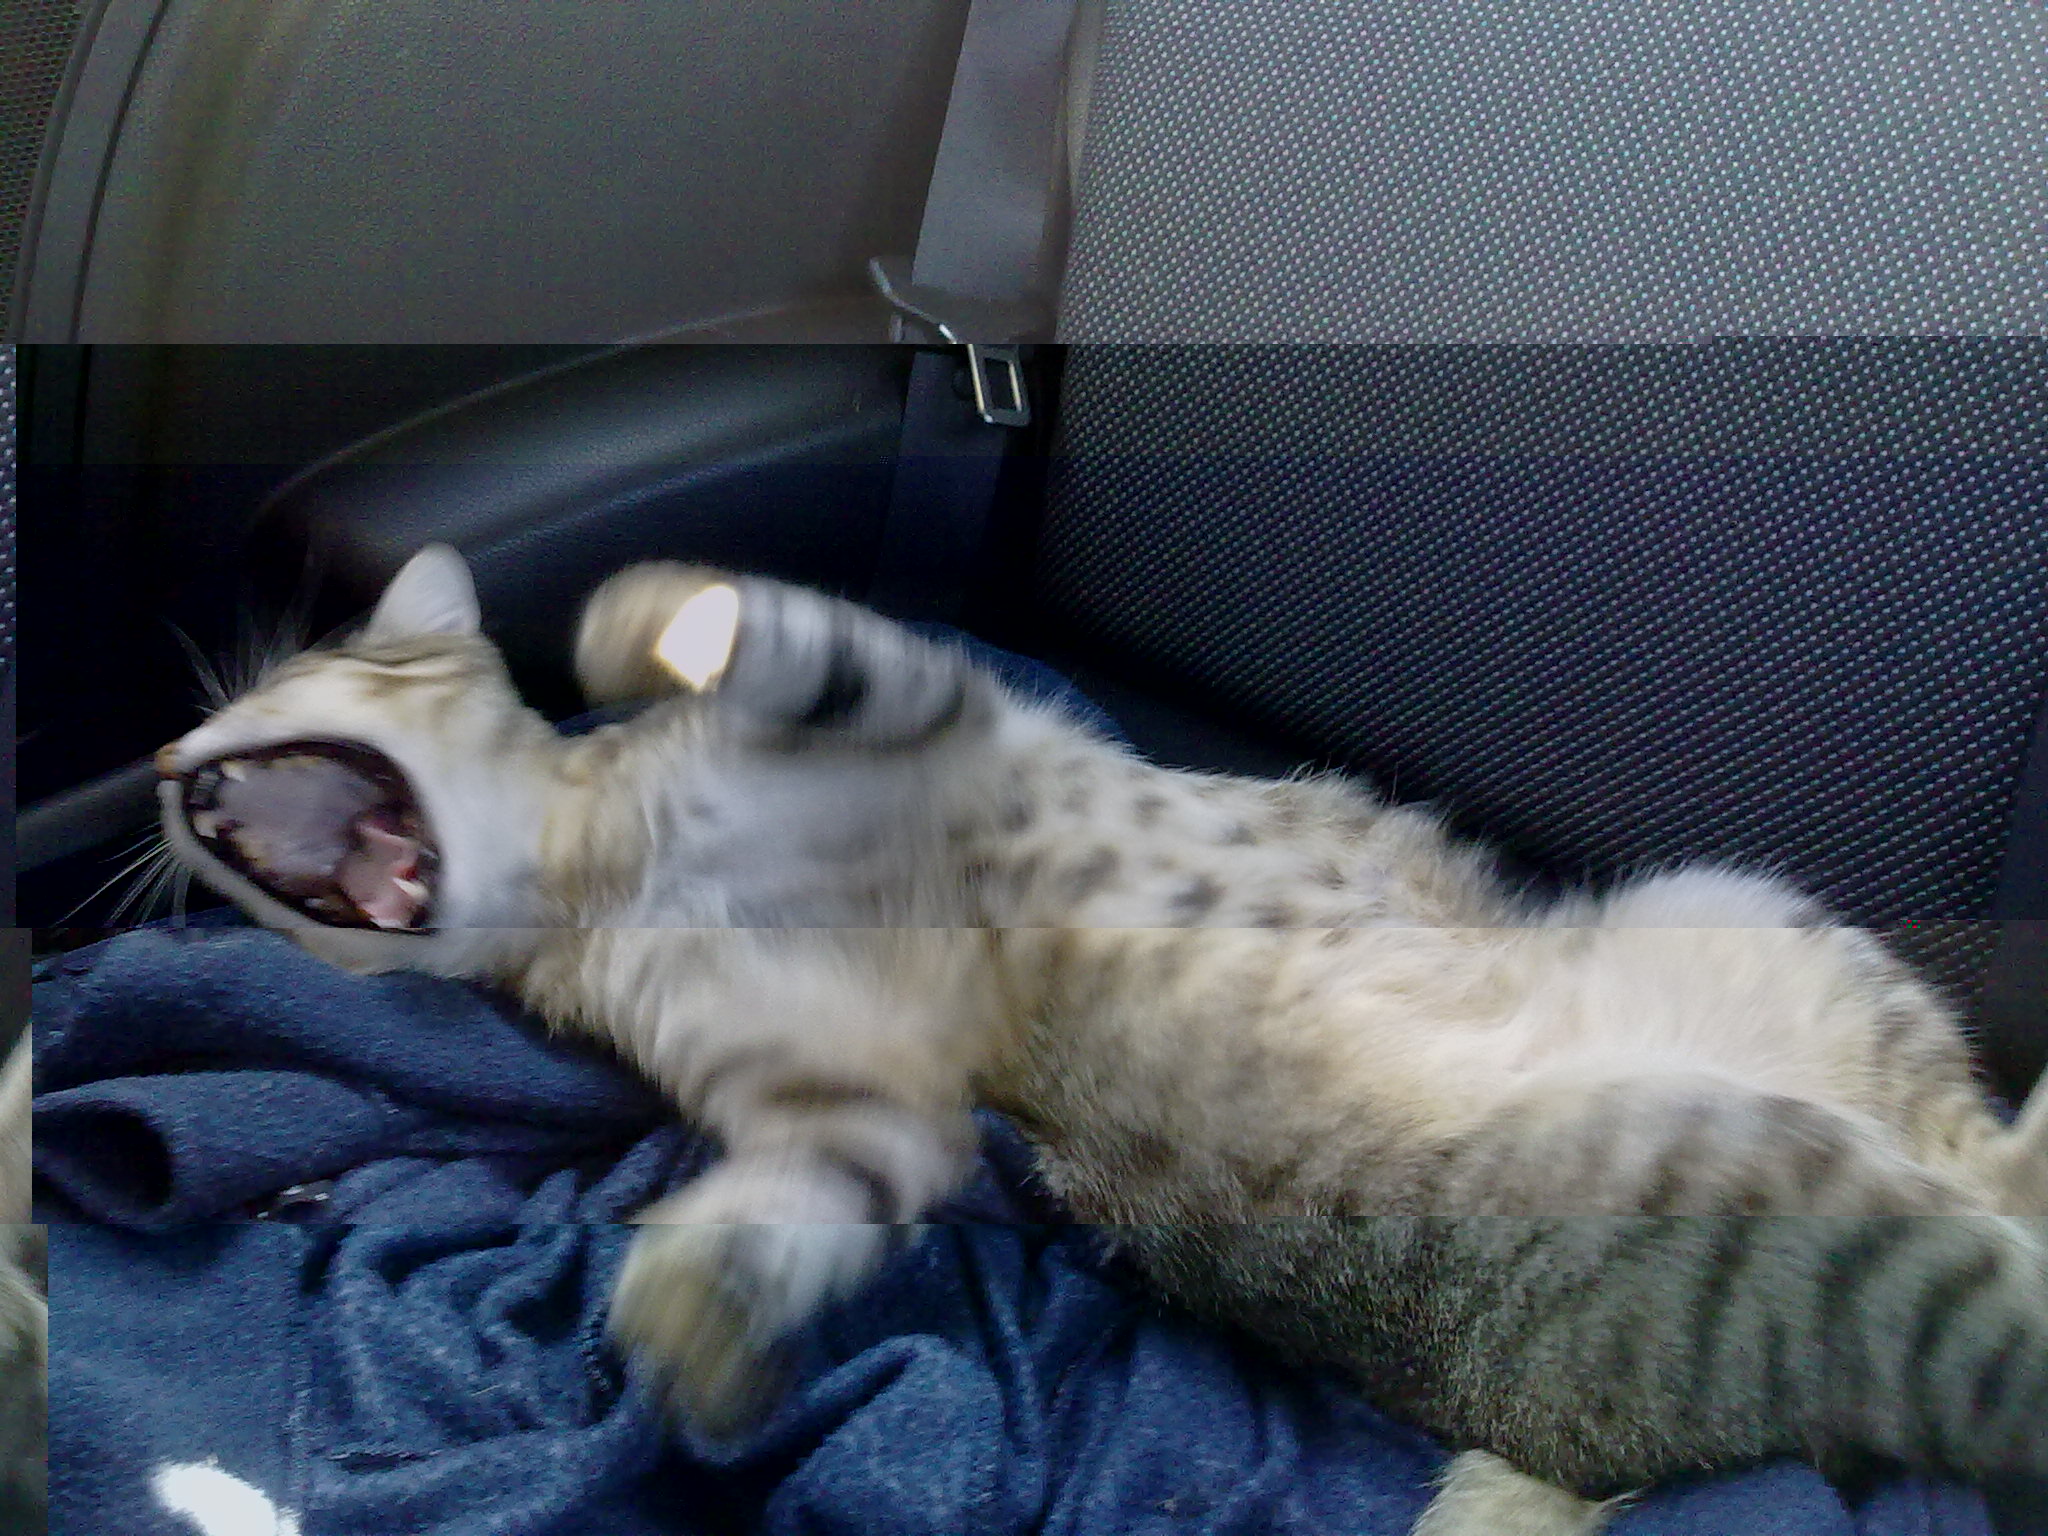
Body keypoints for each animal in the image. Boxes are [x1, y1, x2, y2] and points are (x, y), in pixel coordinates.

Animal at [157, 543, 2048, 1536]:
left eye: (291, 674)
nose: (170, 755)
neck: (595, 864)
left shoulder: (906, 697)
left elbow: (767, 630)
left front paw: (643, 621)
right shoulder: (851, 1107)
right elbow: (804, 1202)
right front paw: (691, 1316)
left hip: (1763, 944)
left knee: (1992, 1152)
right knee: (2001, 1197)